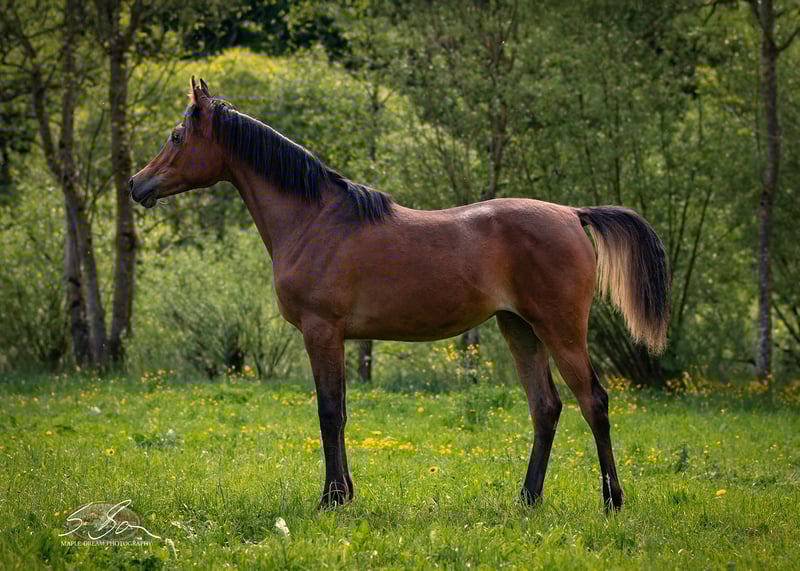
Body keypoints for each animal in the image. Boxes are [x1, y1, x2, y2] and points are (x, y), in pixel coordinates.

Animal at [130, 77, 670, 511]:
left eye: (176, 136)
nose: (137, 184)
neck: (314, 220)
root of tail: (573, 214)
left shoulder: (321, 331)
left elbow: (329, 412)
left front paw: (331, 499)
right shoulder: (336, 338)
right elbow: (341, 412)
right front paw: (345, 492)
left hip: (560, 330)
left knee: (594, 402)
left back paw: (611, 500)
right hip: (519, 329)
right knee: (547, 408)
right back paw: (528, 498)